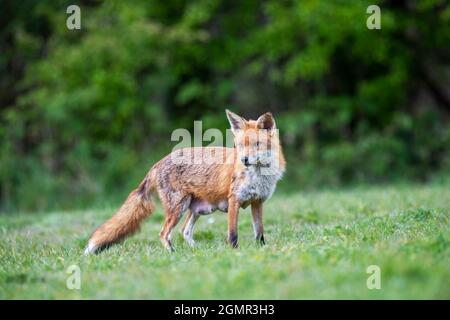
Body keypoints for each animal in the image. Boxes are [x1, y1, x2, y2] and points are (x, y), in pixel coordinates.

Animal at [85, 110, 284, 255]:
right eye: (241, 145)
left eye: (257, 144)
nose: (244, 160)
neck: (258, 176)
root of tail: (158, 162)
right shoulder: (234, 200)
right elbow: (233, 234)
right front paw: (235, 253)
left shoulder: (257, 202)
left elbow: (259, 232)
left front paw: (262, 250)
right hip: (178, 208)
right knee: (164, 233)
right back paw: (172, 254)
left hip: (197, 209)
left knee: (184, 231)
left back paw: (196, 252)